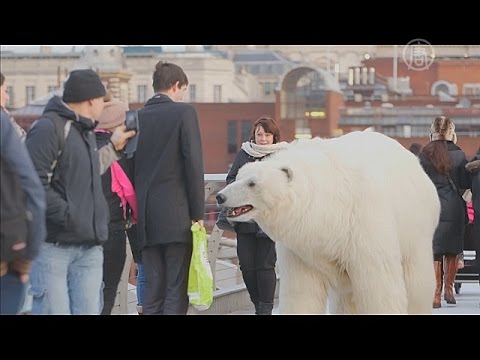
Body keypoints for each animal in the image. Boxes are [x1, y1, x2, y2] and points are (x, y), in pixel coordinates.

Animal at [217, 131, 438, 314]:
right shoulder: (302, 248)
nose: (220, 196)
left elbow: (378, 287)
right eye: (239, 176)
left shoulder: (365, 222)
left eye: (252, 183)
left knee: (417, 283)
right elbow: (302, 292)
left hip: (415, 227)